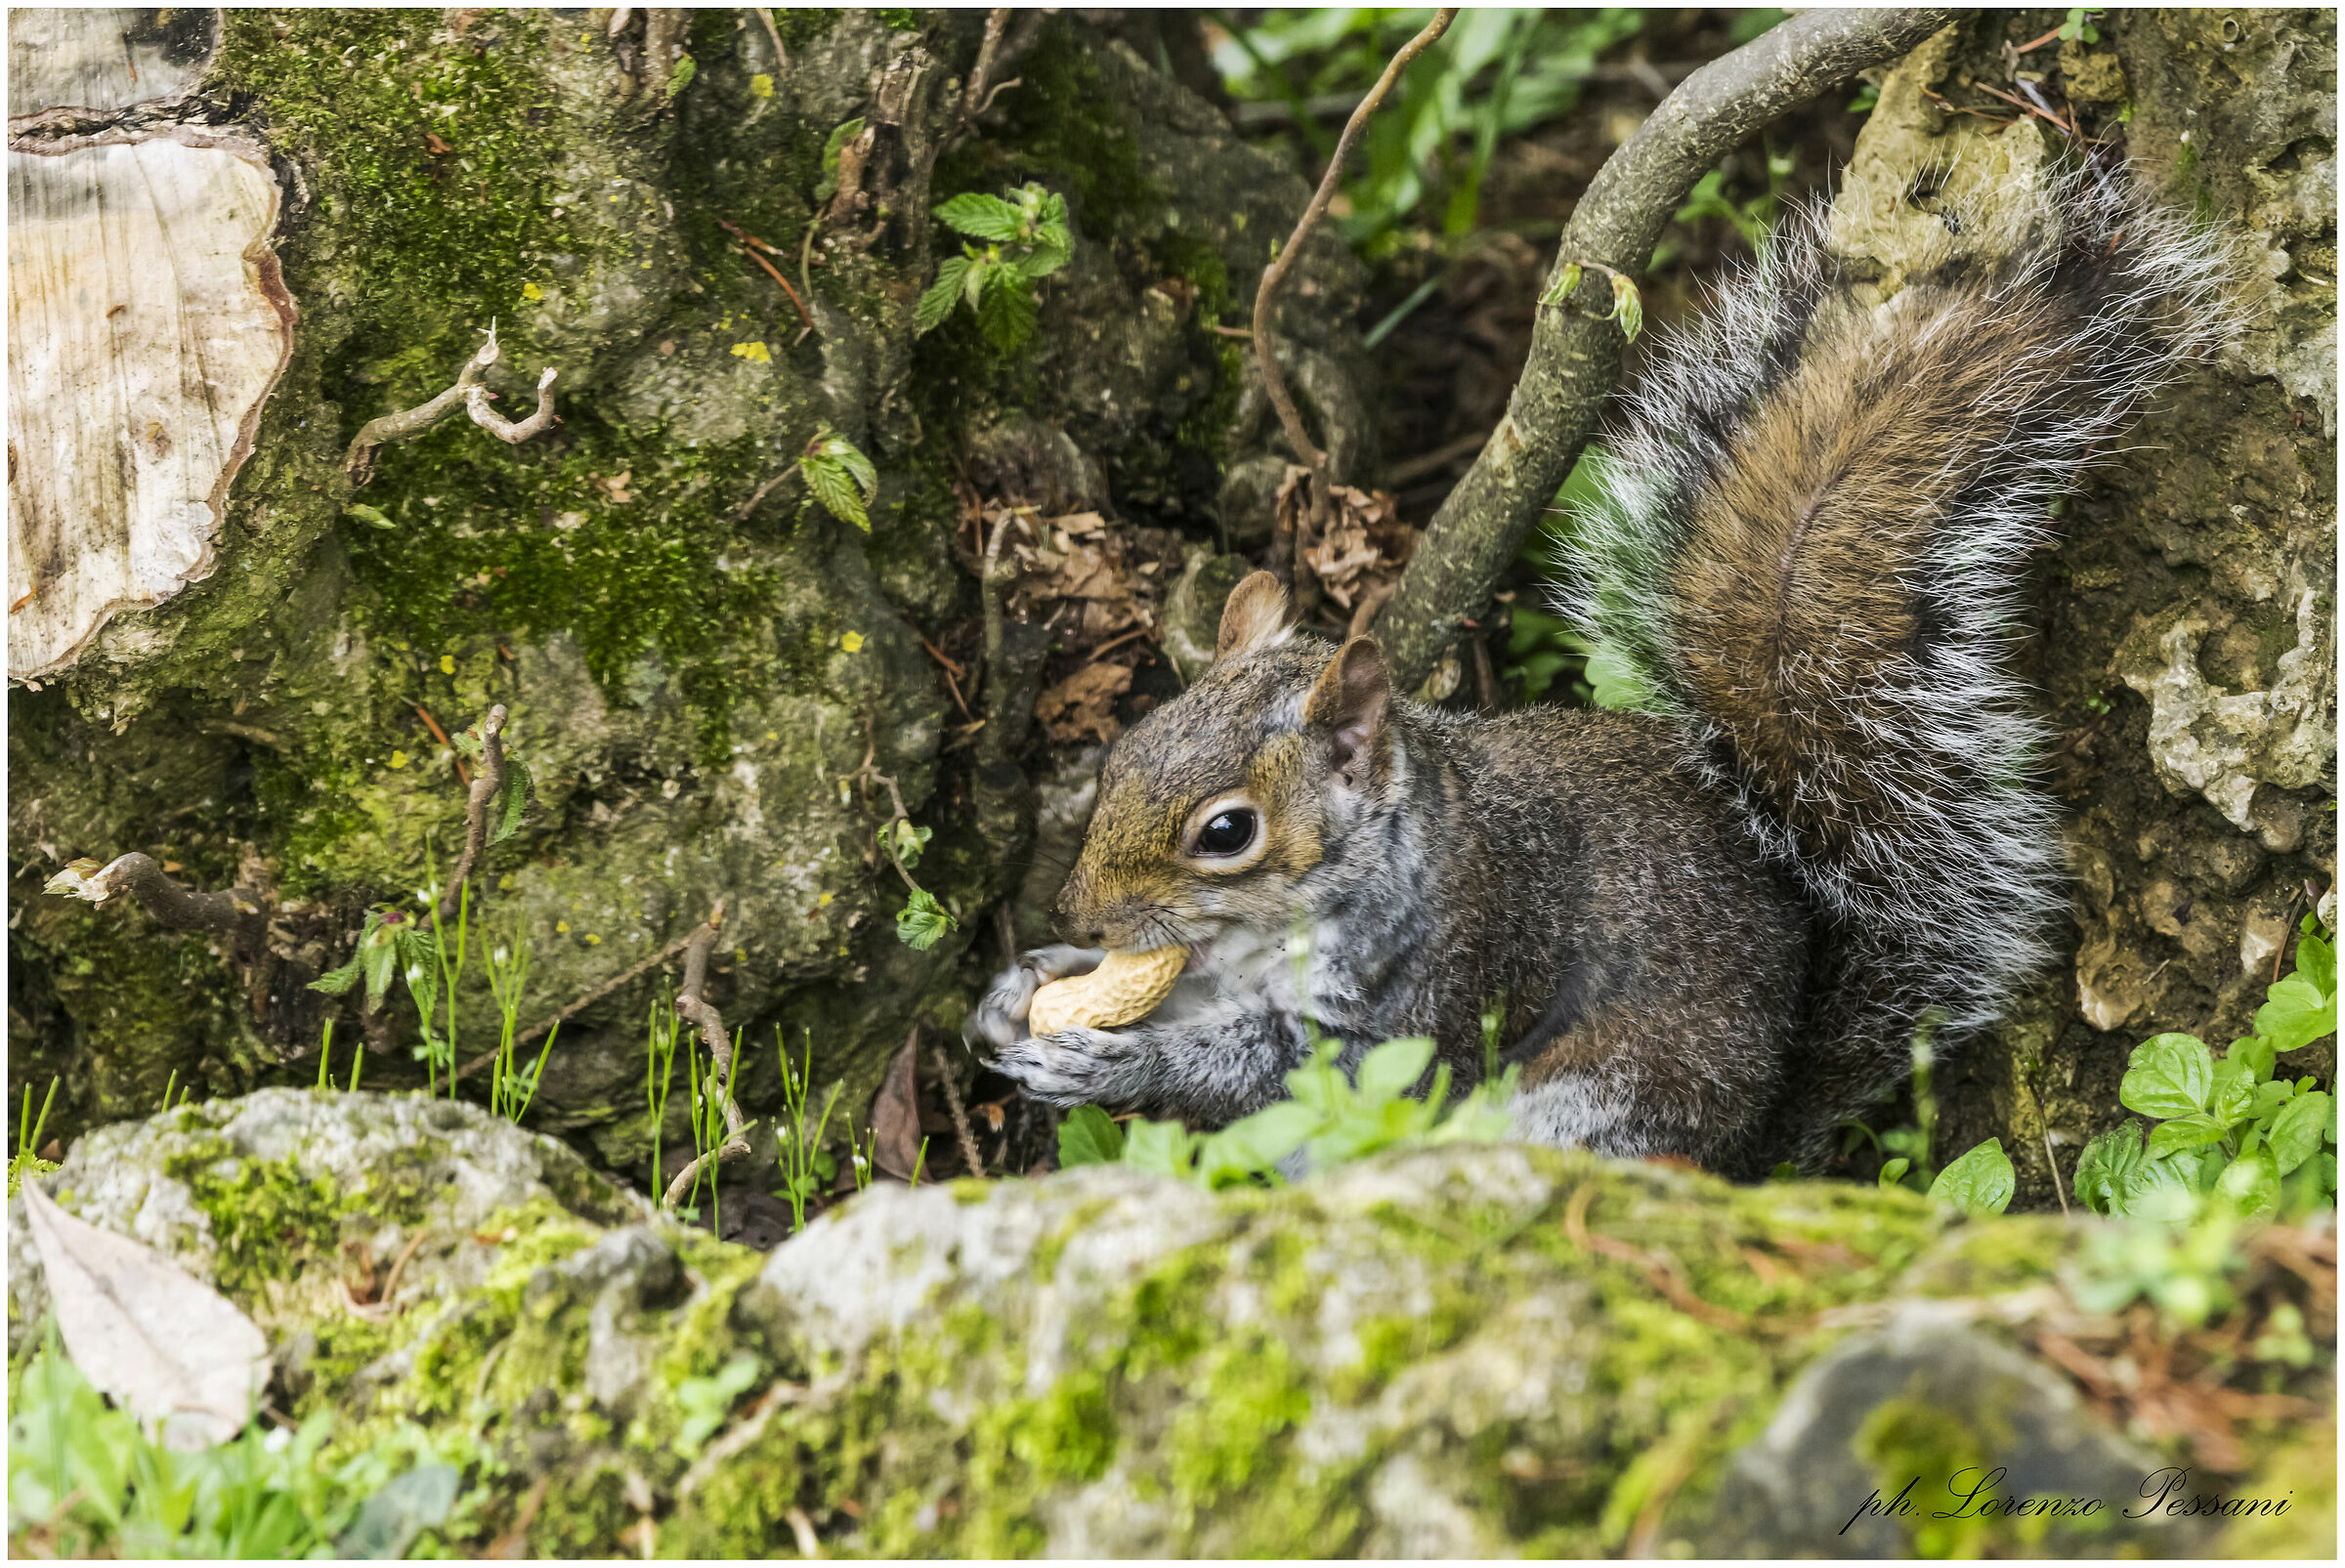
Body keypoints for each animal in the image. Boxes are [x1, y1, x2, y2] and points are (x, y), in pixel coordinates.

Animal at [971, 161, 2232, 1177]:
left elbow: (1279, 1073)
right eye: (1124, 748)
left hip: (1586, 1106)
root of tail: (1754, 1151)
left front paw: (1106, 1062)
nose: (1077, 906)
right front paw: (1026, 984)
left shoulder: (1433, 988)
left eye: (1225, 833)